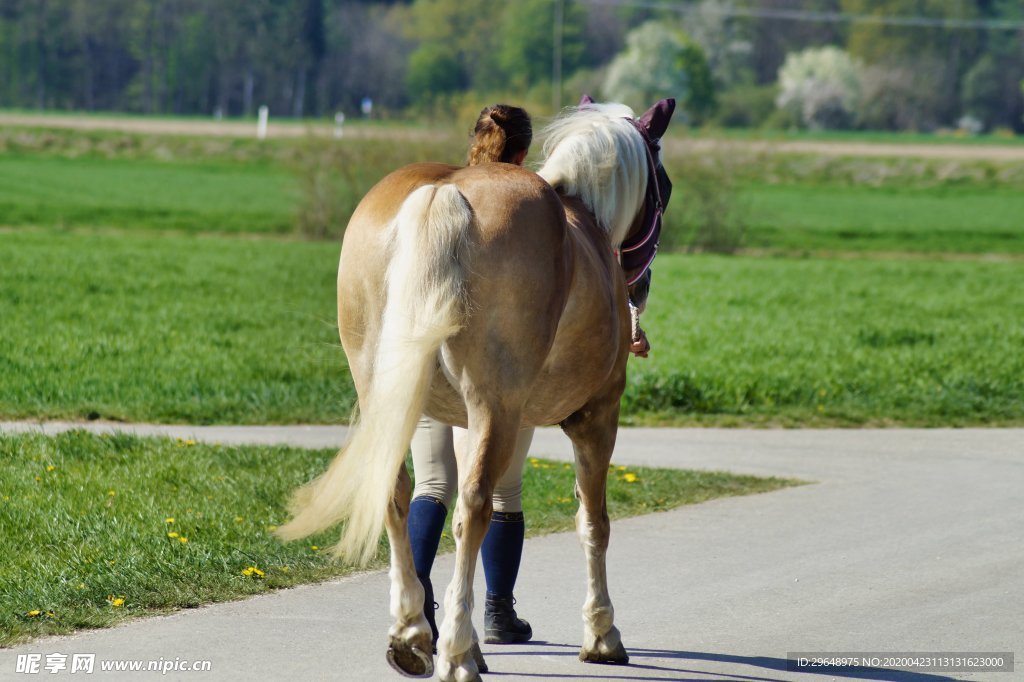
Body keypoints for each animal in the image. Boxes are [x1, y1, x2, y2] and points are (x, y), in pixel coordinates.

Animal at [276, 96, 675, 679]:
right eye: (663, 185)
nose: (640, 289)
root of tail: (443, 192)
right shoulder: (597, 417)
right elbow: (593, 522)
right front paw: (602, 634)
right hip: (498, 409)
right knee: (475, 508)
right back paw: (456, 653)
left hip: (394, 401)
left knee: (400, 493)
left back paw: (414, 634)